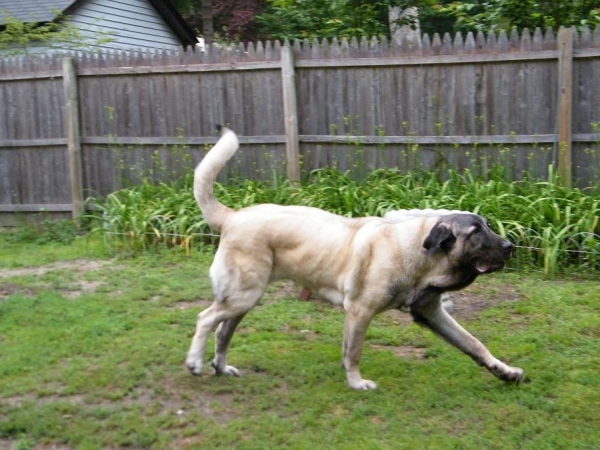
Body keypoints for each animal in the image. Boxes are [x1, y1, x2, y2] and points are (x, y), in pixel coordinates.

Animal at [184, 125, 524, 388]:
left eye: (488, 226)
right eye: (476, 232)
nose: (510, 246)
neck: (419, 255)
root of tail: (232, 215)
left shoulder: (432, 313)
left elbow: (474, 343)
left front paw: (505, 371)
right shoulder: (360, 312)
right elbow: (353, 352)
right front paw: (357, 383)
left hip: (243, 300)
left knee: (222, 333)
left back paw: (220, 367)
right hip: (244, 295)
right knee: (205, 319)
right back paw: (195, 363)